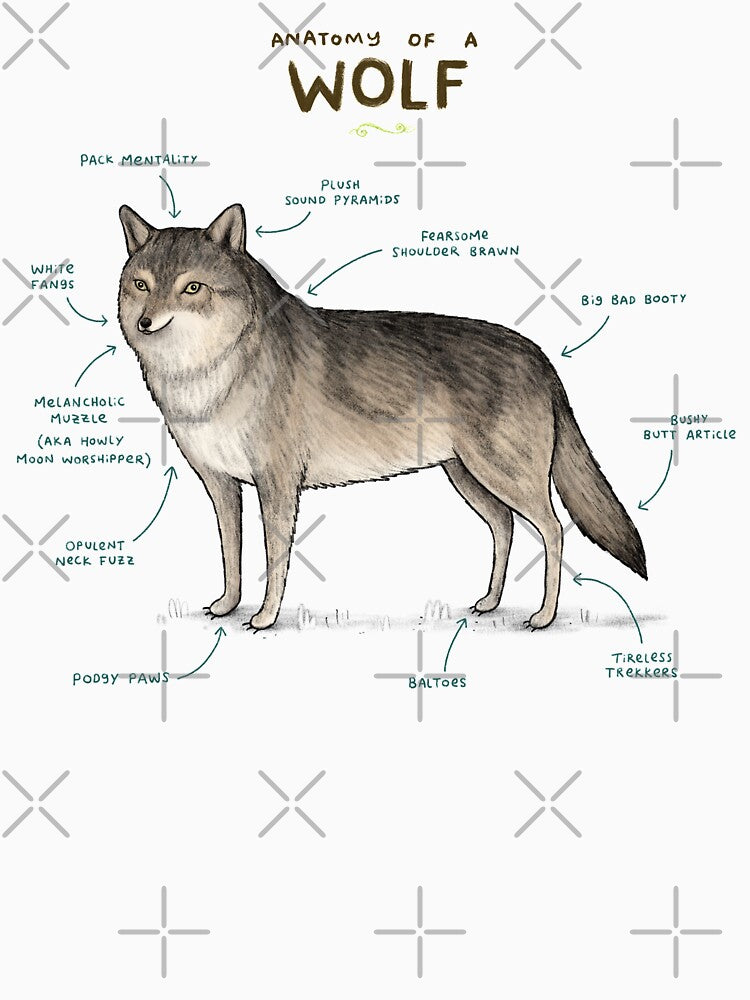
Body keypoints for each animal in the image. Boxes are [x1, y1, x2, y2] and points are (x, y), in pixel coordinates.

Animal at [117, 203, 646, 631]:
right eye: (141, 285)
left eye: (191, 288)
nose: (145, 323)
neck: (208, 373)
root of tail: (537, 352)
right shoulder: (223, 485)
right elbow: (232, 554)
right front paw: (228, 606)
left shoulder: (277, 484)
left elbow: (275, 558)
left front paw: (265, 617)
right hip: (469, 478)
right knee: (505, 528)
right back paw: (490, 603)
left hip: (503, 476)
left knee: (553, 530)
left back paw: (544, 616)